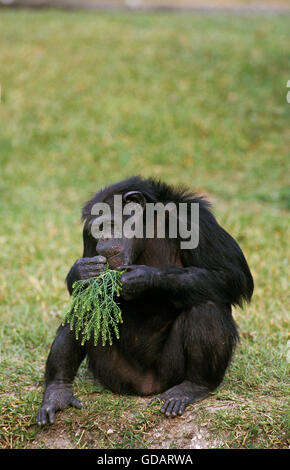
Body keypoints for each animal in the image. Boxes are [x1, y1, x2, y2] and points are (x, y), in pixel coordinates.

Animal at [36, 177, 254, 426]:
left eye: (108, 224)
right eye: (96, 230)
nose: (103, 238)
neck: (147, 231)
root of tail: (146, 388)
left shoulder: (196, 220)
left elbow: (233, 275)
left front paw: (143, 278)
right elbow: (84, 289)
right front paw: (82, 271)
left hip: (169, 372)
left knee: (208, 305)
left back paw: (194, 386)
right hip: (115, 373)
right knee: (87, 304)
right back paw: (58, 391)